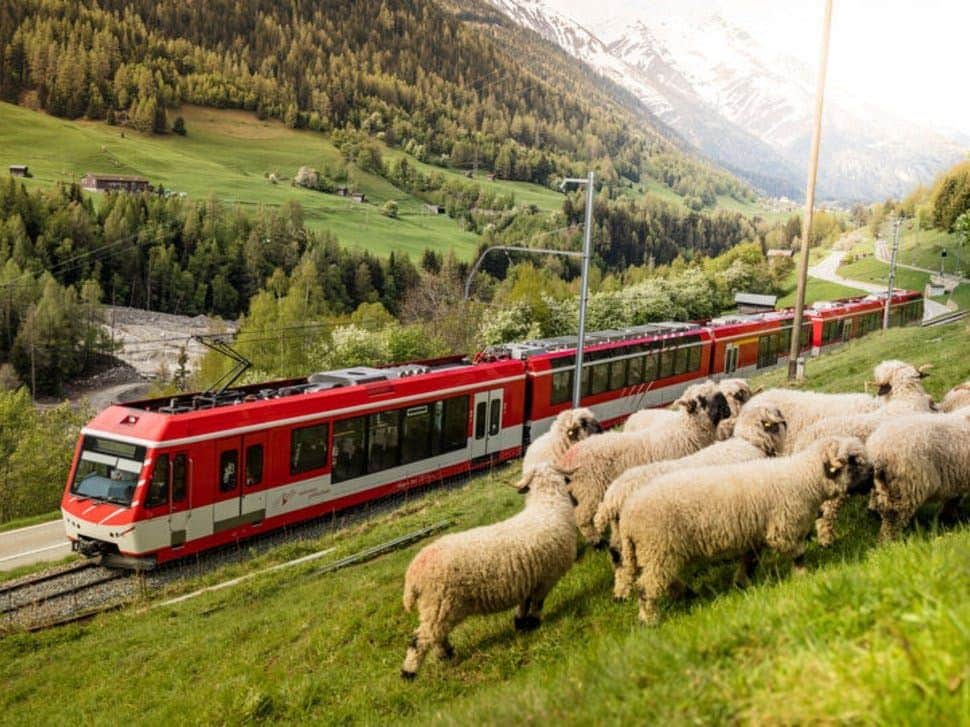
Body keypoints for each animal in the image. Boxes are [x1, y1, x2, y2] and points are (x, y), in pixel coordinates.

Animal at [400, 464, 577, 678]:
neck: (548, 506)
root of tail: (413, 574)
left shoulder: (529, 578)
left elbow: (524, 603)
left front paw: (521, 624)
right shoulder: (546, 578)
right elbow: (537, 604)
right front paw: (534, 623)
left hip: (434, 607)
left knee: (435, 635)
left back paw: (447, 654)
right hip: (440, 603)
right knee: (421, 639)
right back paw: (409, 673)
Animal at [561, 384, 732, 542]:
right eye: (703, 399)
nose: (728, 411)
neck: (686, 431)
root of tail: (569, 458)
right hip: (591, 489)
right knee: (581, 516)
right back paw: (595, 540)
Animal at [597, 403, 787, 600]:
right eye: (777, 413)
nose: (785, 421)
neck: (749, 442)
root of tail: (612, 499)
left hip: (625, 538)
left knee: (622, 562)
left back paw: (622, 593)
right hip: (654, 539)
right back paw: (684, 592)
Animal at [616, 436, 873, 624]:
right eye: (853, 461)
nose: (873, 479)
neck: (804, 478)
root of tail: (627, 515)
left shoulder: (756, 533)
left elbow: (751, 559)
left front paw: (742, 583)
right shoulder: (783, 528)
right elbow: (798, 554)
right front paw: (804, 577)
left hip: (661, 552)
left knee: (663, 580)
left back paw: (687, 593)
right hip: (659, 548)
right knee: (647, 587)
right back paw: (649, 620)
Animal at [866, 412, 970, 542]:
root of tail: (879, 451)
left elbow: (954, 498)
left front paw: (947, 516)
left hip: (882, 487)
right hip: (906, 487)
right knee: (893, 517)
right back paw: (889, 542)